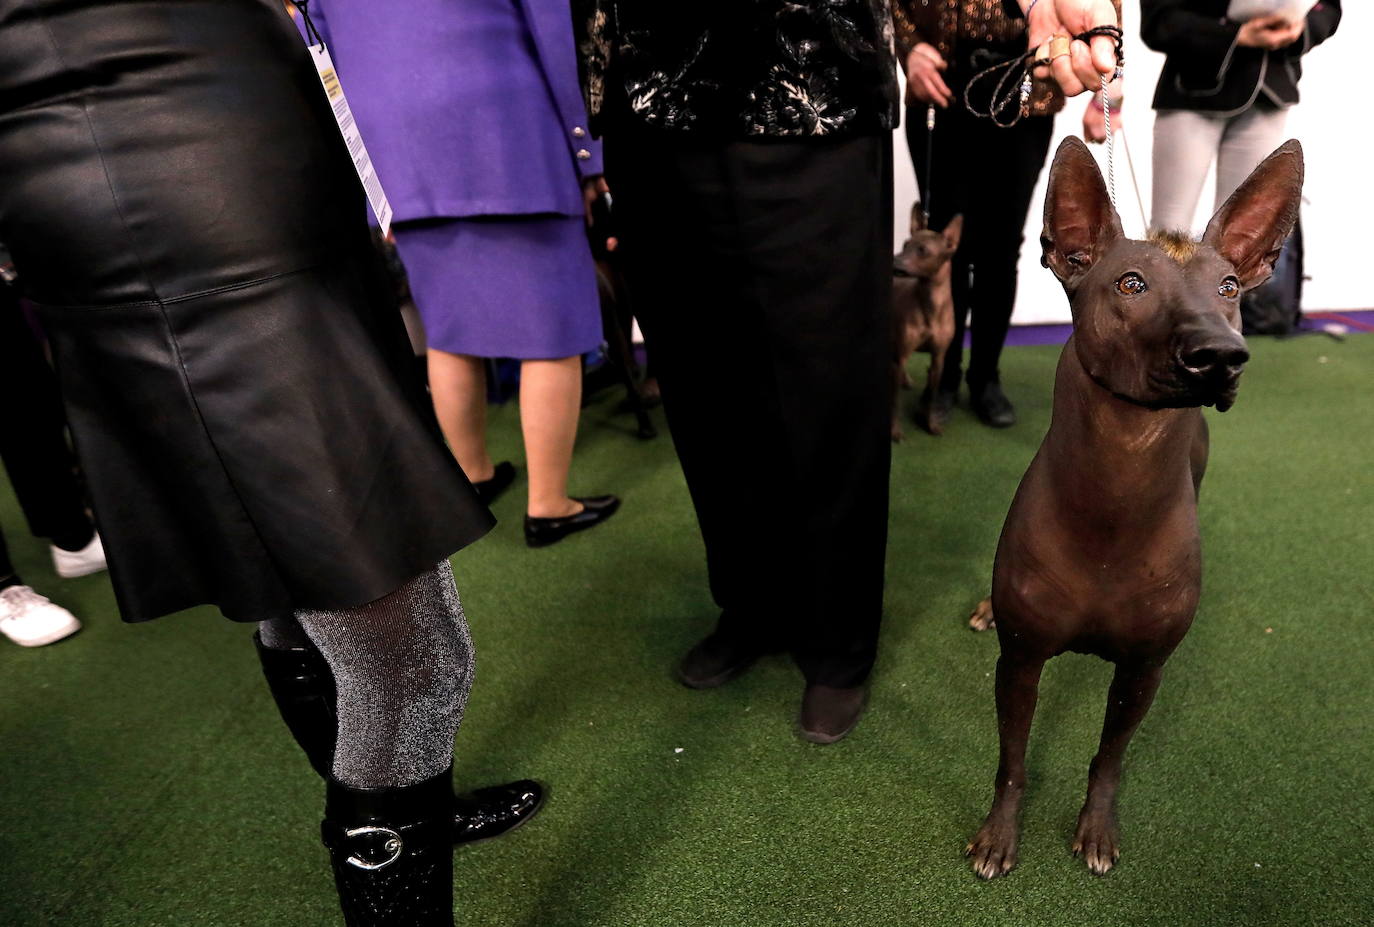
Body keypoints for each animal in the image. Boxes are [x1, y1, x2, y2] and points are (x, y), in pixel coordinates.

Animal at [890, 207, 967, 439]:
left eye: (922, 250)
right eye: (905, 244)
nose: (894, 263)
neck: (930, 306)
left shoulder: (938, 360)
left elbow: (930, 395)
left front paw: (929, 423)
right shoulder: (900, 356)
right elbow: (894, 400)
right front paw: (894, 430)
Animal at [961, 139, 1302, 884]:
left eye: (1228, 288)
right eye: (1131, 285)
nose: (1220, 354)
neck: (1115, 495)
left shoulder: (1144, 671)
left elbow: (1110, 758)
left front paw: (1095, 826)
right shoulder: (1020, 661)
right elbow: (1011, 760)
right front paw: (1000, 834)